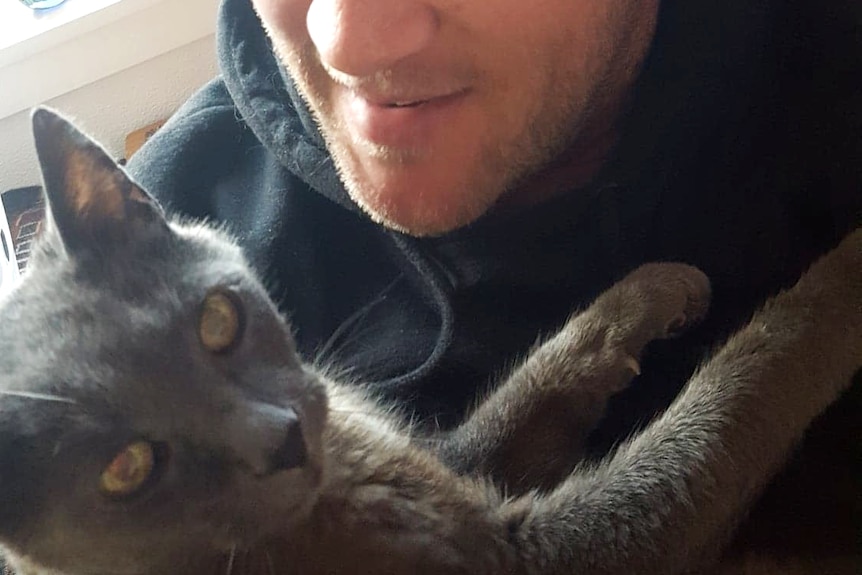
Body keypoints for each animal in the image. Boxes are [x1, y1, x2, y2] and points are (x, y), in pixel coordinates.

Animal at [0, 109, 860, 575]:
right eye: (127, 469)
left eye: (218, 320)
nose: (278, 438)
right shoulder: (532, 551)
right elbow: (728, 403)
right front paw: (849, 269)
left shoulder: (450, 460)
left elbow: (543, 376)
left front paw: (662, 287)